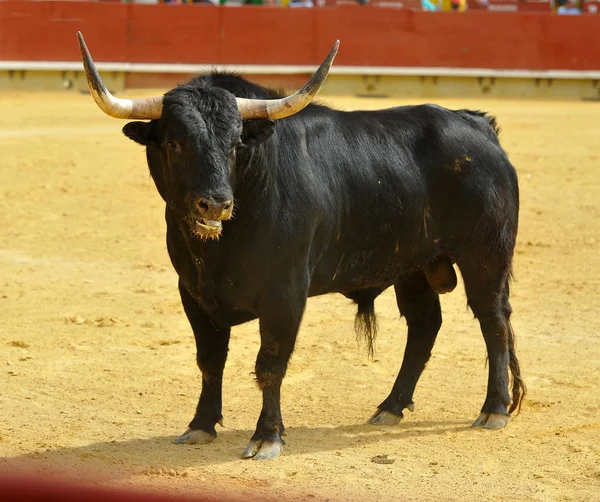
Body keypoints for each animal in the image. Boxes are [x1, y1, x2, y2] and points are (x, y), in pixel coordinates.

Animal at [79, 33, 524, 460]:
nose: (216, 203)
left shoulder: (285, 295)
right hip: (413, 266)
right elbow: (209, 361)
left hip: (486, 256)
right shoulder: (193, 293)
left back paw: (494, 409)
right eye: (173, 143)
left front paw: (267, 437)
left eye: (236, 143)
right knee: (424, 325)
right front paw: (200, 425)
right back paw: (391, 407)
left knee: (493, 322)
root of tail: (477, 124)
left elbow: (270, 364)